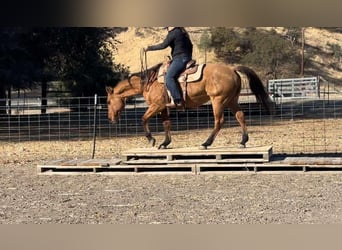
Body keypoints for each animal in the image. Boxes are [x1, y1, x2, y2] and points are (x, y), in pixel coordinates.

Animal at [105, 62, 274, 149]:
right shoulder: (164, 107)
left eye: (108, 101)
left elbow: (143, 118)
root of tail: (232, 69)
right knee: (240, 116)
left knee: (219, 121)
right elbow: (166, 124)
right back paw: (243, 141)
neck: (149, 83)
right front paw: (165, 143)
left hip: (218, 101)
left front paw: (151, 139)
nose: (110, 119)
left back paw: (206, 143)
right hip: (231, 100)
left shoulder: (156, 105)